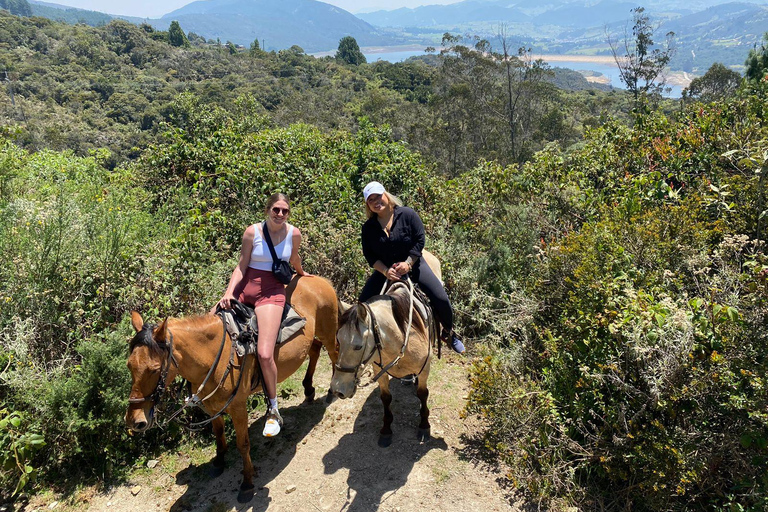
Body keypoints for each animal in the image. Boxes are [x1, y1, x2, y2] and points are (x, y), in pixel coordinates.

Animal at [124, 274, 338, 502]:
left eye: (154, 369)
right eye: (129, 365)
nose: (134, 421)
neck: (214, 356)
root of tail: (315, 278)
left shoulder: (238, 407)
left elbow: (243, 444)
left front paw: (247, 483)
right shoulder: (211, 405)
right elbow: (218, 433)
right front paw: (219, 461)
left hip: (328, 330)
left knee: (334, 353)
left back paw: (332, 391)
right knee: (315, 350)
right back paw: (308, 390)